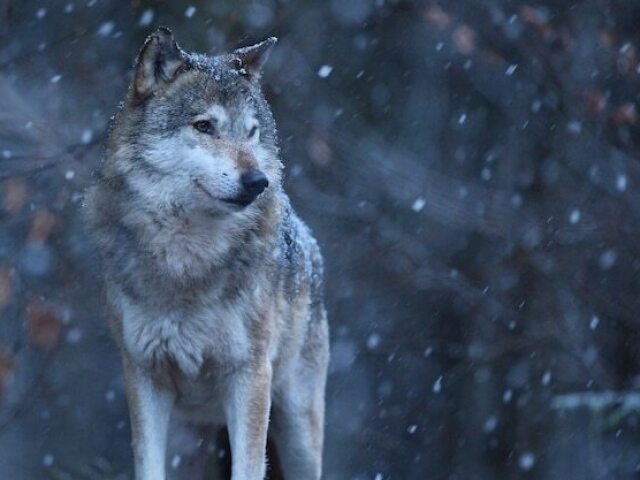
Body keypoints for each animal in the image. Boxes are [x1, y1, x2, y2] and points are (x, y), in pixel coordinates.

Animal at [84, 27, 330, 480]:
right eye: (204, 126)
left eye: (251, 132)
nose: (258, 181)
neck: (187, 259)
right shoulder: (143, 374)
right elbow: (146, 465)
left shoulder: (249, 375)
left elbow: (248, 469)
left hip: (299, 433)